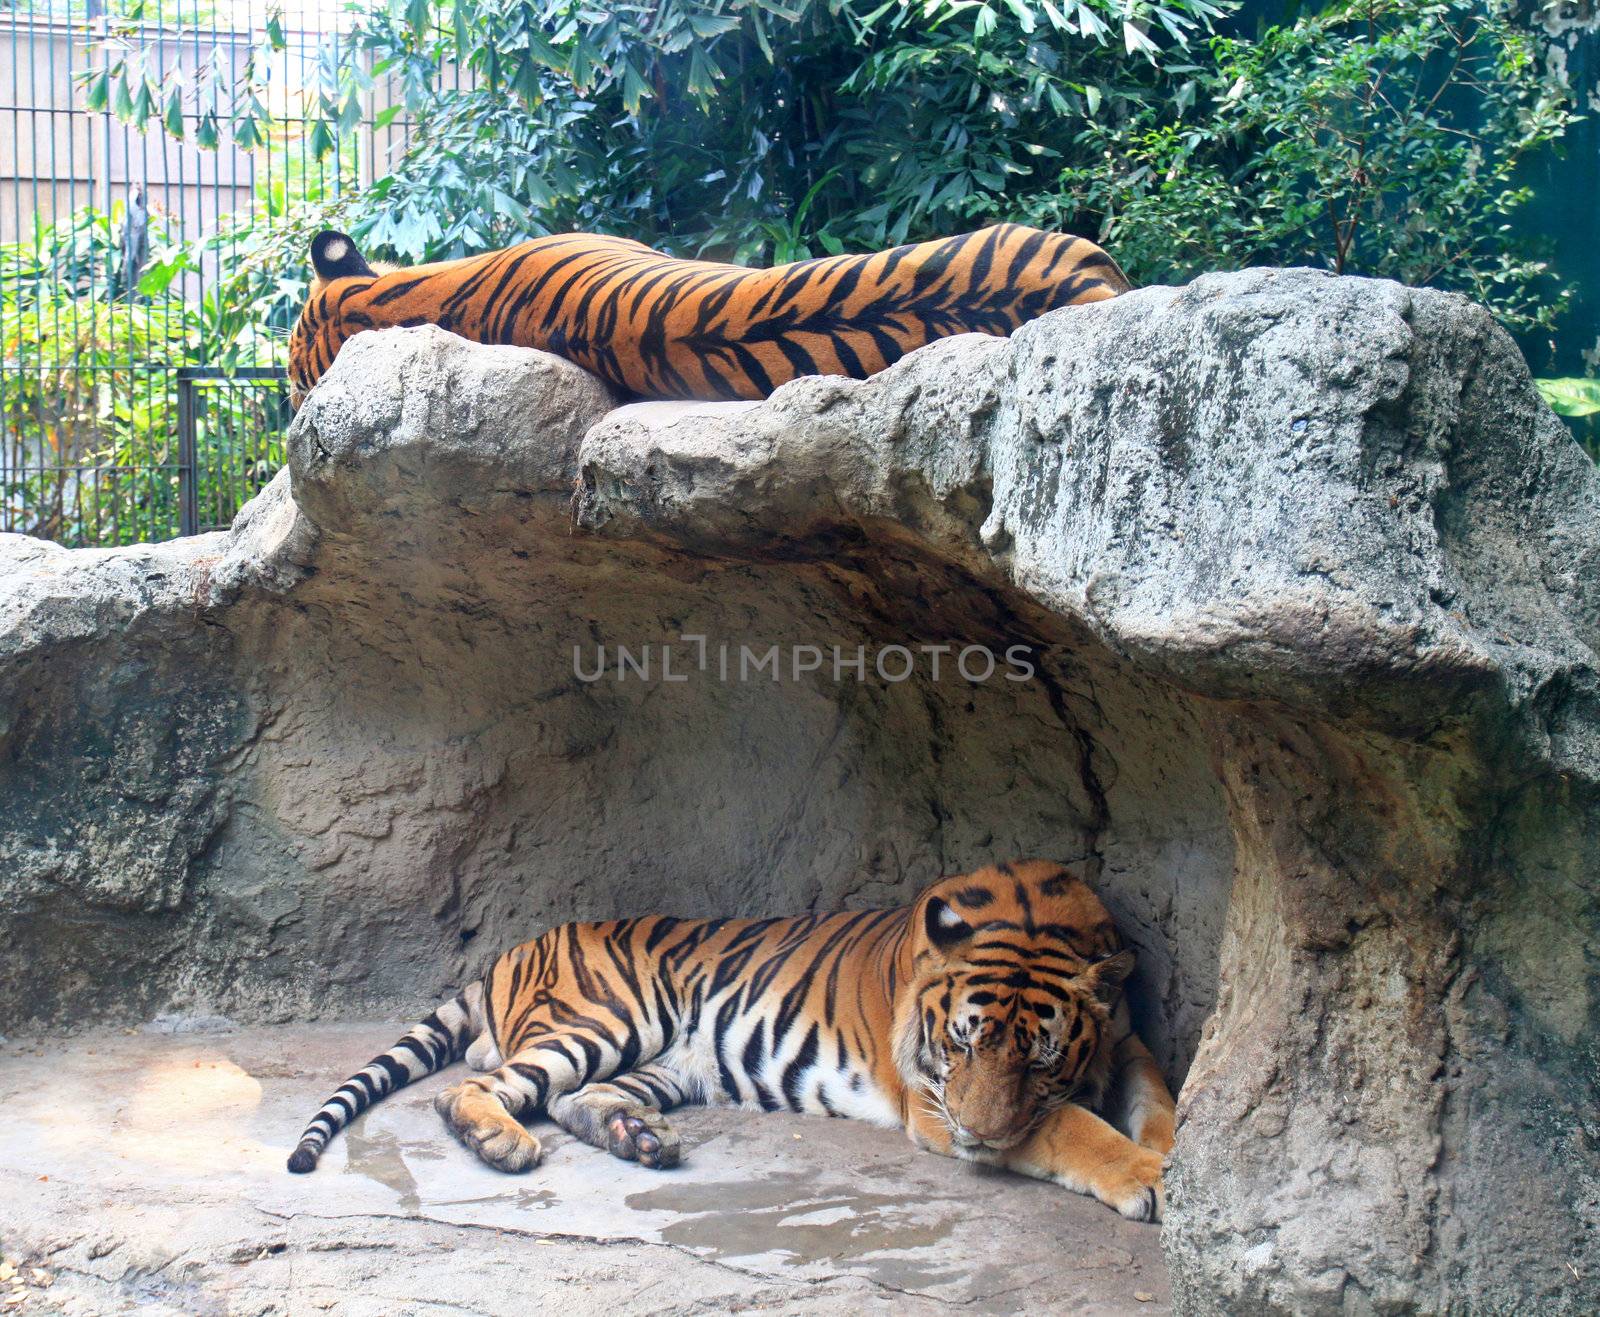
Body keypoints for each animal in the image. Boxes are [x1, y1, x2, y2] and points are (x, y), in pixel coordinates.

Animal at [288, 857, 1177, 1222]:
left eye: (1039, 1057)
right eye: (960, 1046)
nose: (980, 1134)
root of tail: (512, 949)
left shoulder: (1126, 1040)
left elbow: (1160, 1100)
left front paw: (1172, 1154)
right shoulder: (933, 1101)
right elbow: (1066, 1127)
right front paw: (1146, 1178)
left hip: (668, 1064)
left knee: (575, 1098)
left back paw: (638, 1136)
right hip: (607, 1018)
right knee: (470, 1088)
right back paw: (503, 1142)